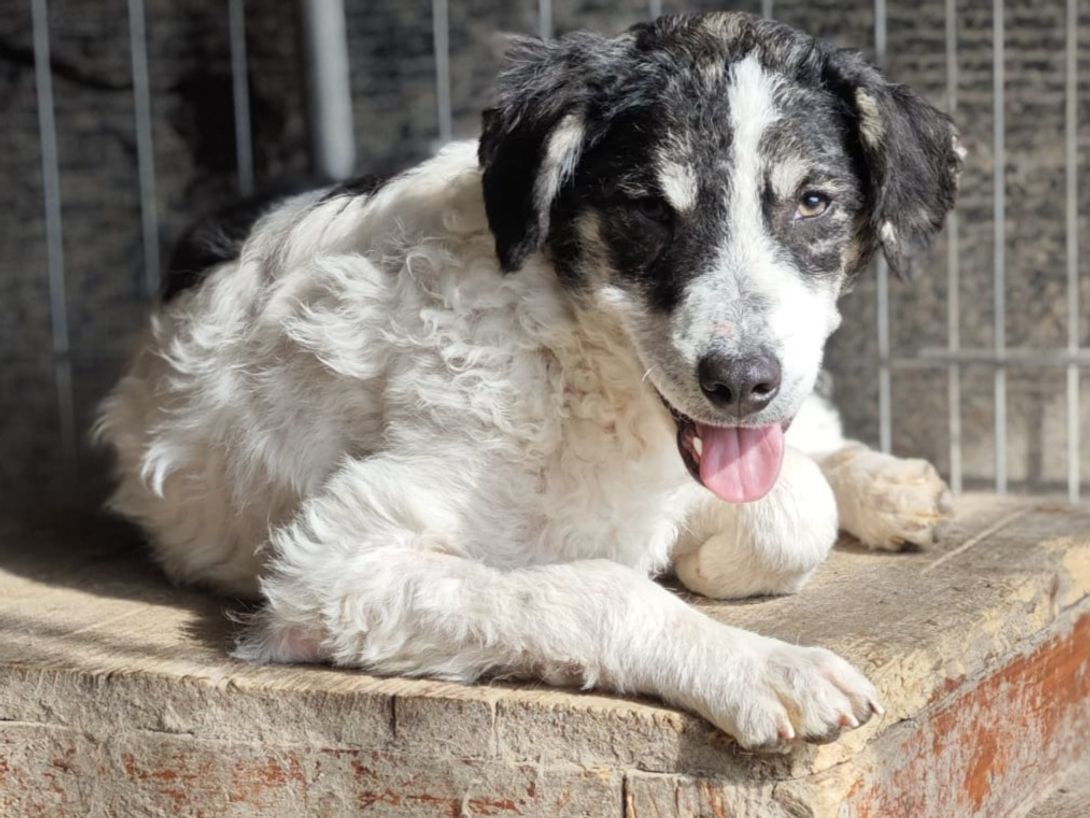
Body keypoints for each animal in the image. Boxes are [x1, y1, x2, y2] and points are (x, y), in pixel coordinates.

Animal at [95, 12, 961, 750]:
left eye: (814, 201)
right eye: (648, 209)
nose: (741, 381)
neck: (573, 353)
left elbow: (791, 506)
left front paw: (717, 544)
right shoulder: (334, 566)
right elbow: (597, 586)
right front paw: (758, 664)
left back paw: (887, 483)